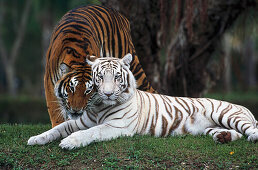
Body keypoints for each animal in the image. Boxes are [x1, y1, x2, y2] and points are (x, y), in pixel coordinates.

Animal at [27, 53, 256, 149]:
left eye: (116, 77)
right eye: (99, 77)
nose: (107, 94)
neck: (99, 107)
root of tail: (243, 107)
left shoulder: (117, 126)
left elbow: (92, 132)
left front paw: (69, 142)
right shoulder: (80, 121)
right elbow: (58, 128)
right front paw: (36, 139)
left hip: (226, 114)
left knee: (249, 129)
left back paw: (252, 136)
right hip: (211, 127)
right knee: (233, 133)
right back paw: (223, 137)